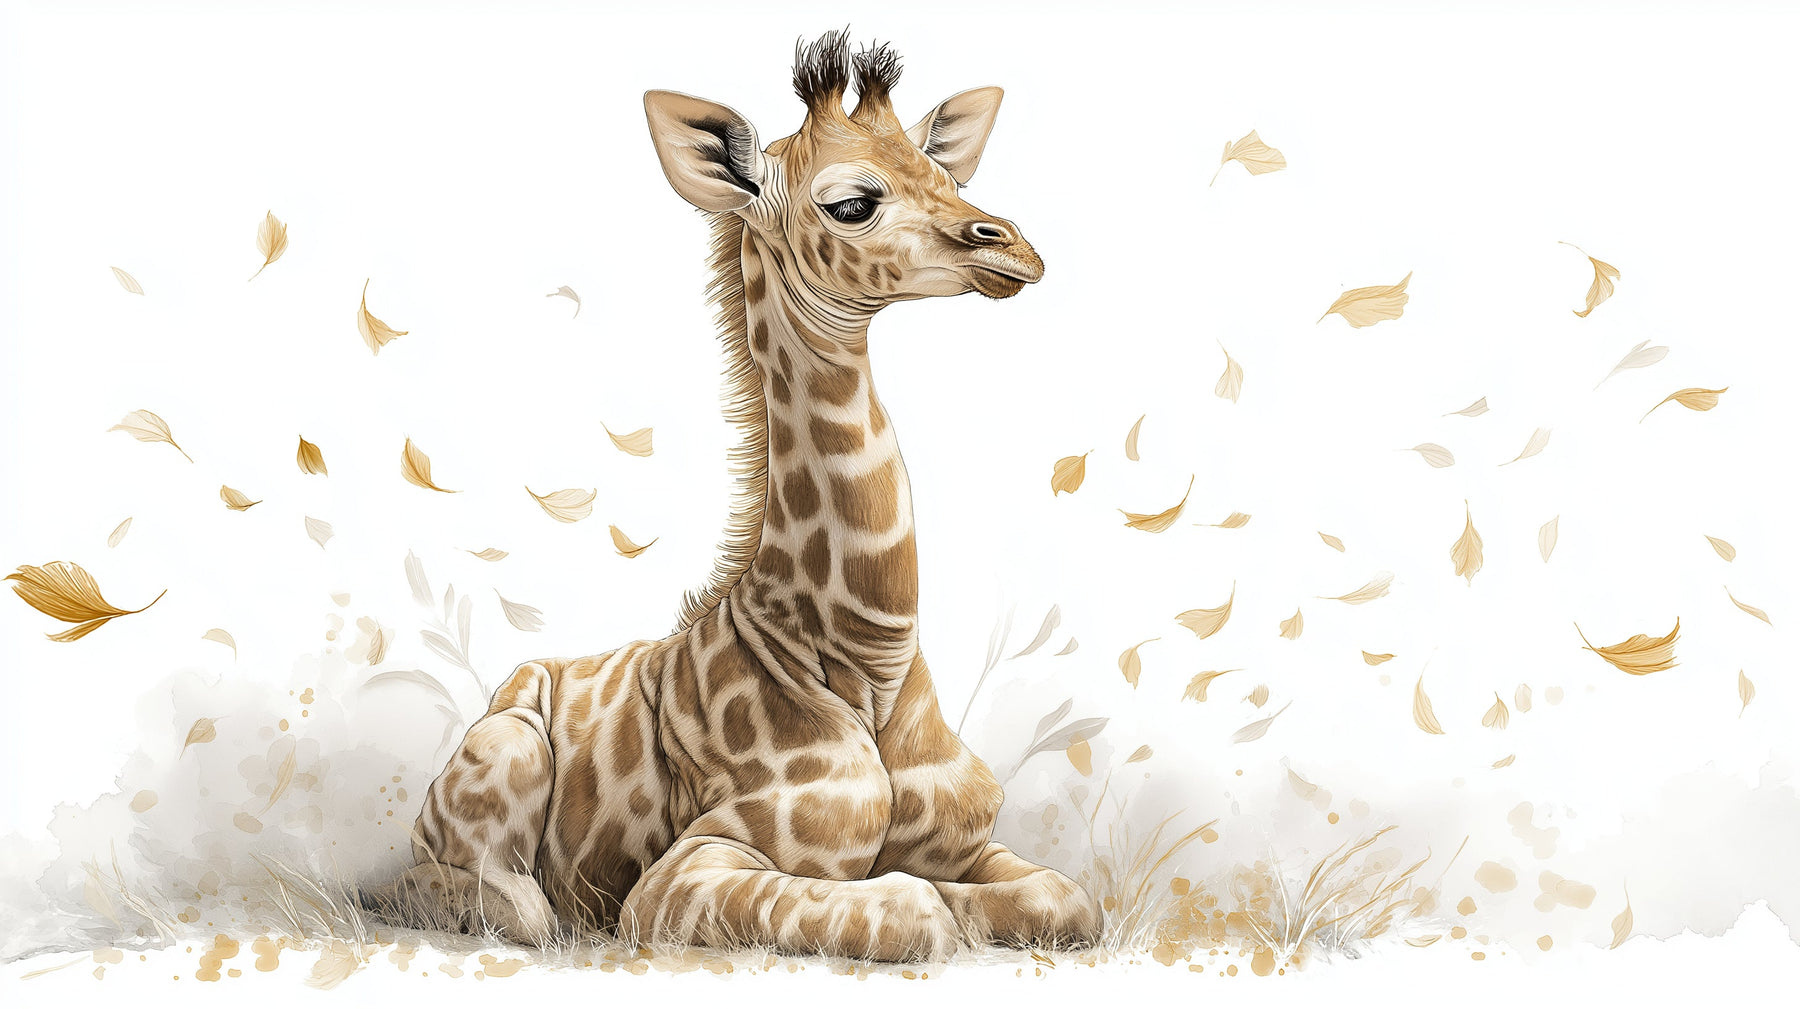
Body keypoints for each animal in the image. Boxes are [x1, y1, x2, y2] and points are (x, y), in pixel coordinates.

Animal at [374, 30, 1100, 962]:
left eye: (947, 174)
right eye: (852, 203)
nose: (1012, 248)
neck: (870, 661)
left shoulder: (978, 841)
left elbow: (1060, 897)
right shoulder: (682, 874)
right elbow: (915, 911)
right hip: (506, 753)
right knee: (473, 895)